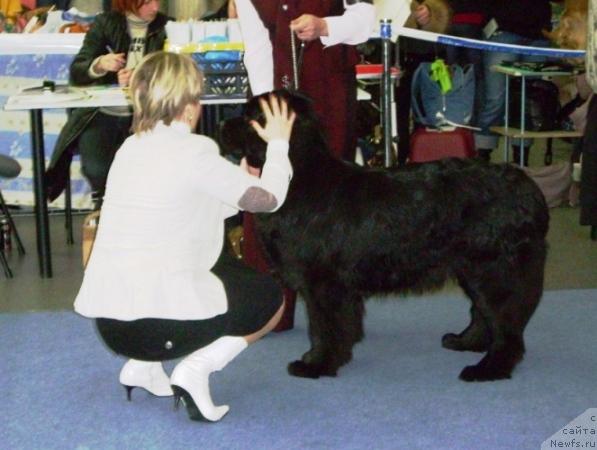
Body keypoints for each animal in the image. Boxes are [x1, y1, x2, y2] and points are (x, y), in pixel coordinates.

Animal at [220, 89, 548, 382]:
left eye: (250, 116)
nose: (221, 125)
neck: (299, 177)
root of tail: (527, 187)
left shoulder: (324, 282)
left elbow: (325, 326)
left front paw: (318, 363)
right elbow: (341, 325)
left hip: (495, 270)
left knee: (505, 325)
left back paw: (489, 369)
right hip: (473, 269)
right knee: (483, 313)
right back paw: (466, 342)